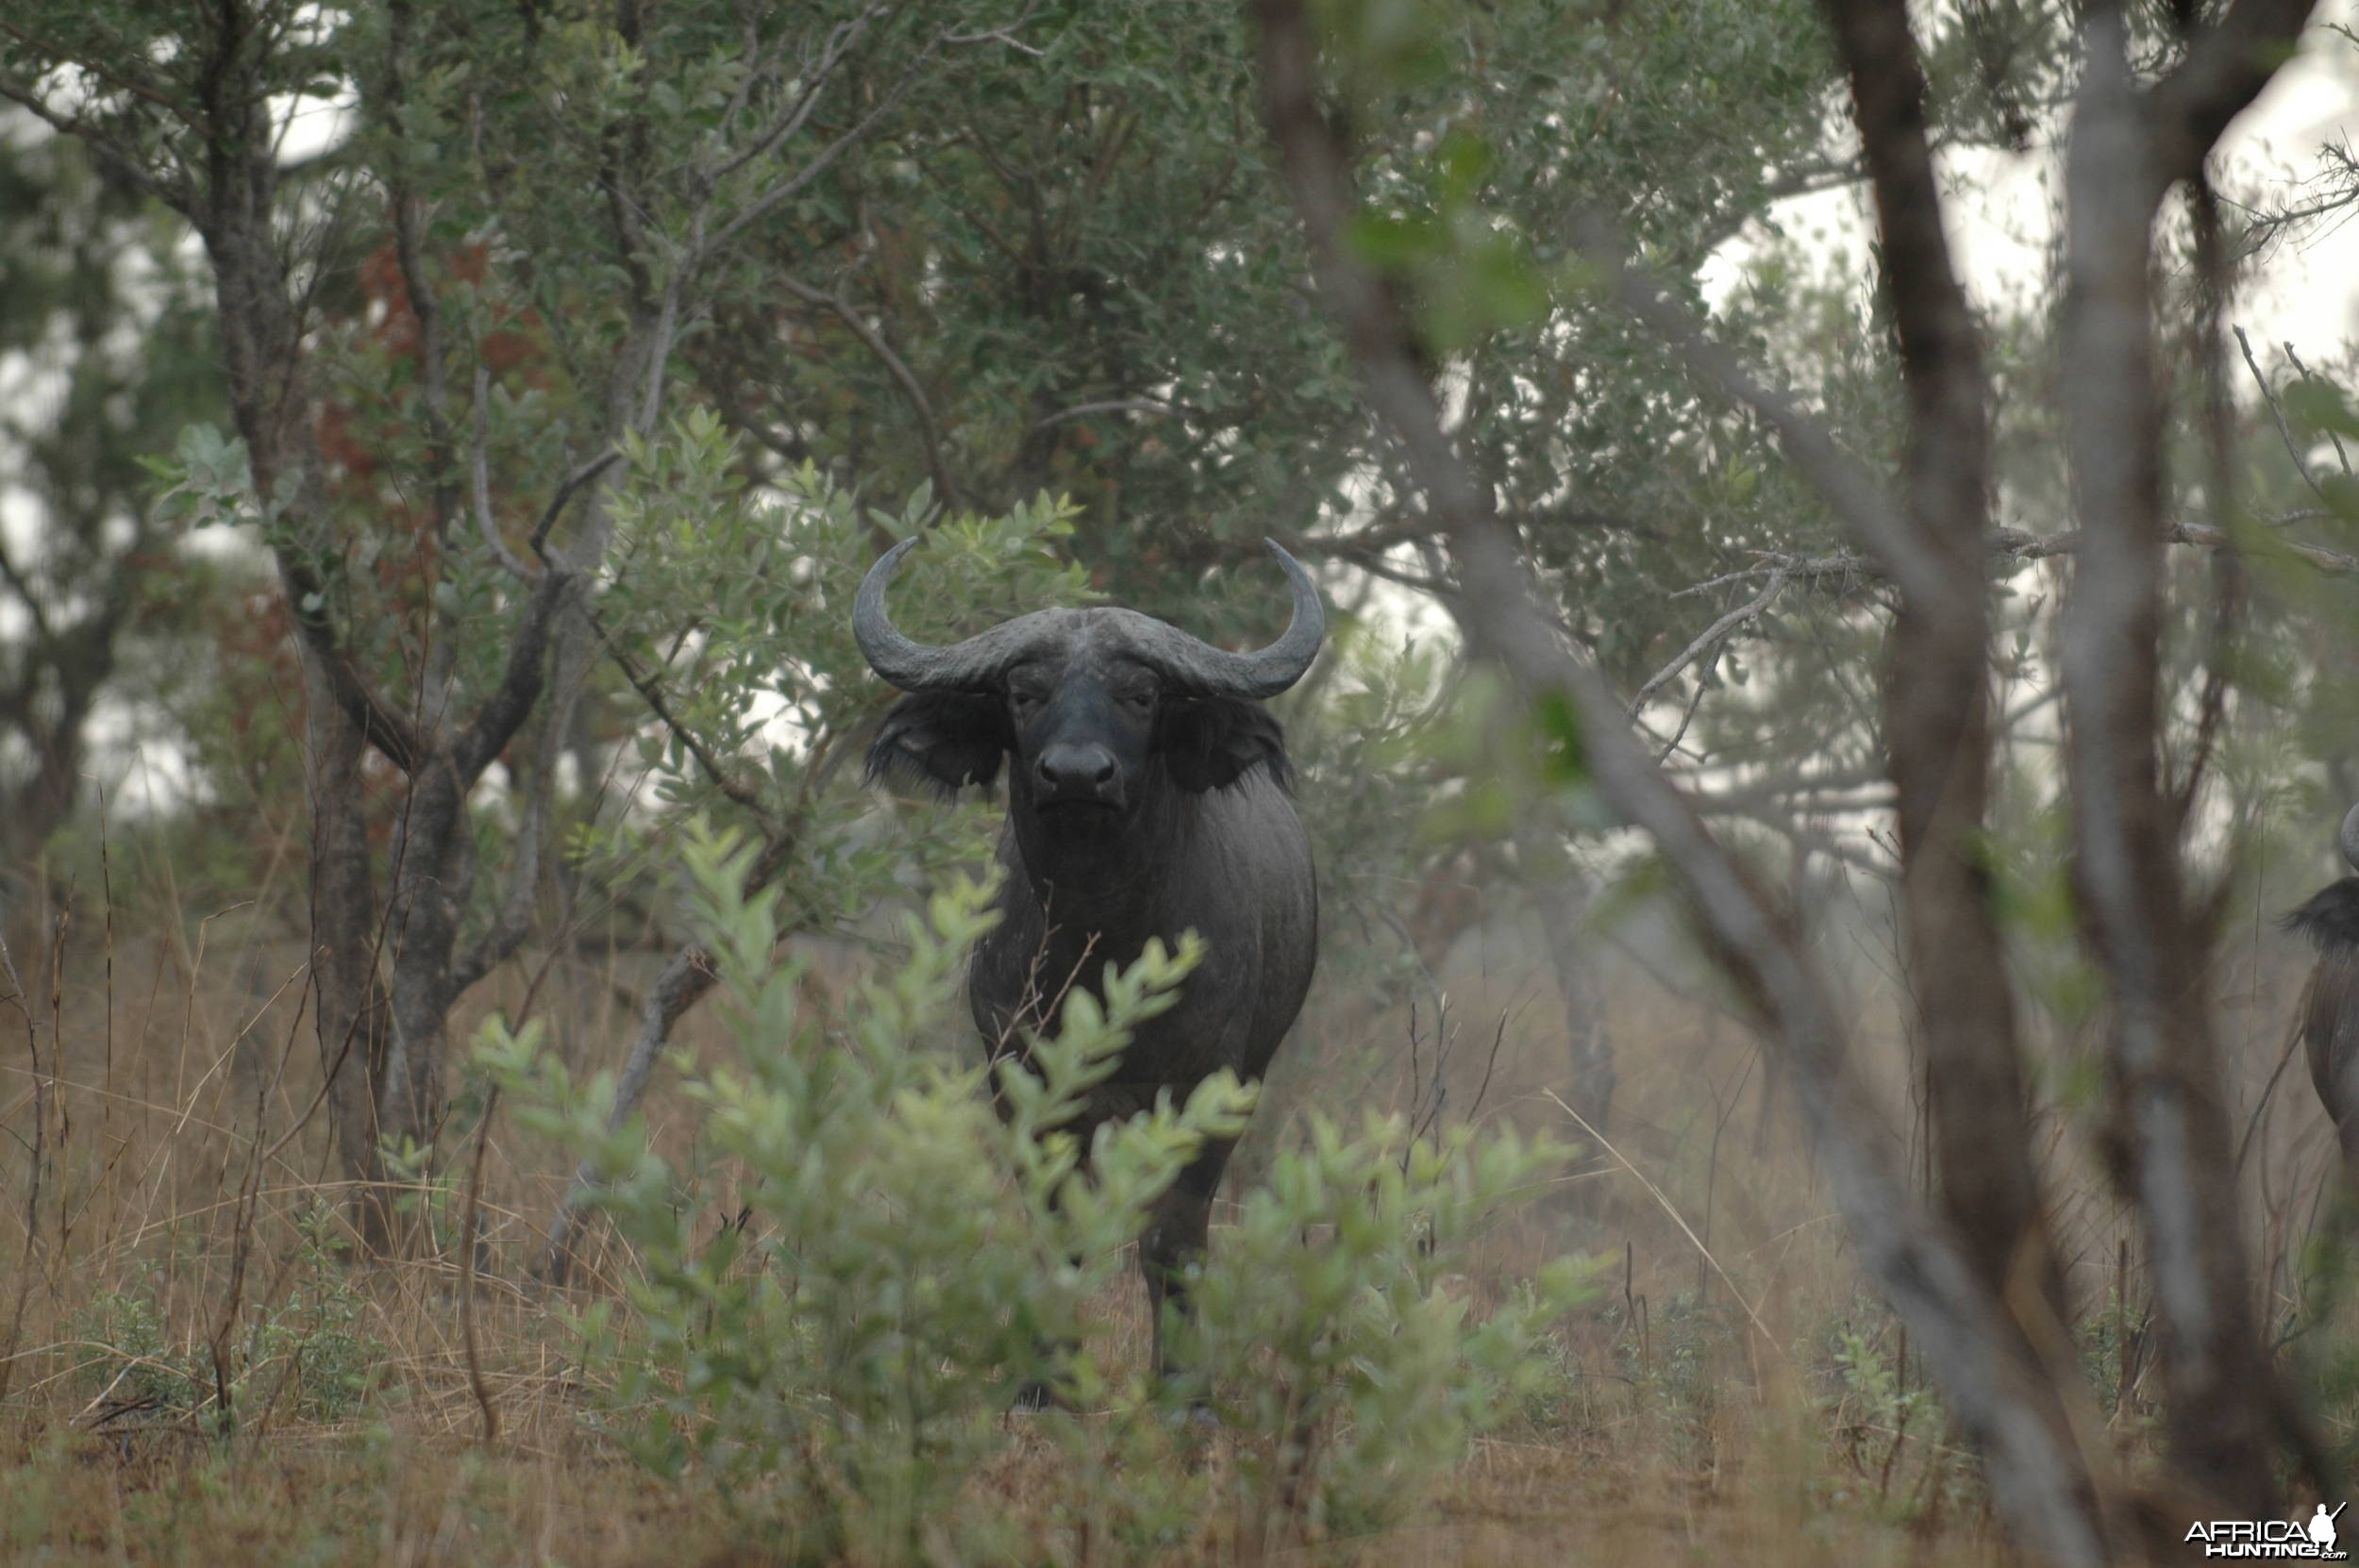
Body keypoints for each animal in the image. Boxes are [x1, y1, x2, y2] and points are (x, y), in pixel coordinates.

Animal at [854, 535, 1330, 1386]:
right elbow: (1059, 1229)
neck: (1103, 941)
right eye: (1023, 693)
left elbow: (1173, 1242)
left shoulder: (1209, 1084)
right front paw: (1046, 1381)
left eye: (1141, 694)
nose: (1077, 774)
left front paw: (1182, 1387)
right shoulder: (1021, 1077)